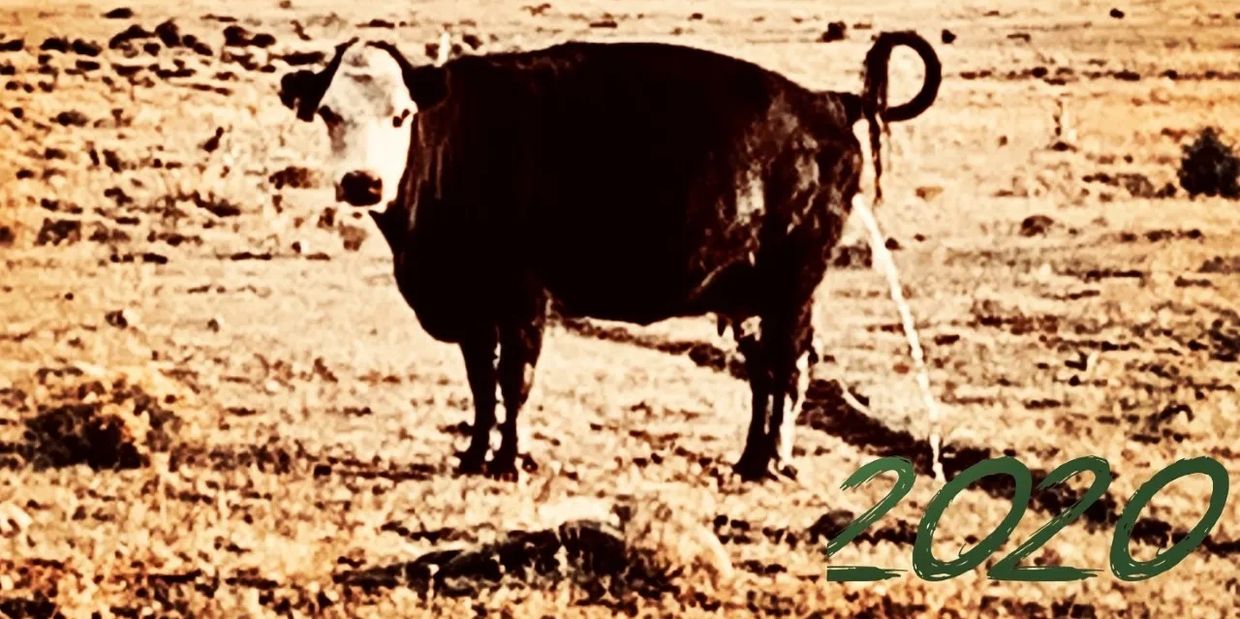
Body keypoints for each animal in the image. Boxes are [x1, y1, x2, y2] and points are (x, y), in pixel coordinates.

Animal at [278, 32, 940, 480]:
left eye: (401, 115)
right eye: (329, 112)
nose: (362, 183)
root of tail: (827, 102)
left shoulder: (523, 297)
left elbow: (514, 380)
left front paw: (509, 461)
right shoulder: (472, 307)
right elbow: (481, 384)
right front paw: (473, 455)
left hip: (791, 286)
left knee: (786, 368)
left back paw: (766, 463)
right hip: (752, 295)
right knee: (768, 372)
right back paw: (752, 459)